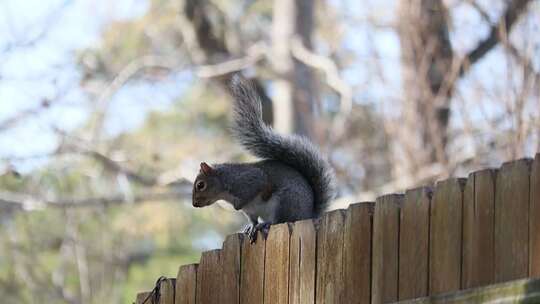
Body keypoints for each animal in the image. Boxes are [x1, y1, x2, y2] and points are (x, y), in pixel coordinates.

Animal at [190, 75, 334, 242]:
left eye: (200, 185)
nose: (194, 204)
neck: (225, 181)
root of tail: (308, 215)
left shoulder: (249, 180)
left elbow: (258, 186)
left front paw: (239, 207)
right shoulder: (250, 211)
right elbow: (252, 219)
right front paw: (250, 227)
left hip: (285, 202)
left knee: (280, 220)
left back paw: (266, 224)